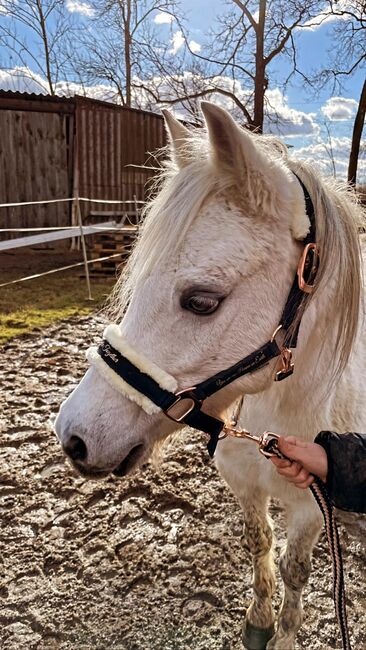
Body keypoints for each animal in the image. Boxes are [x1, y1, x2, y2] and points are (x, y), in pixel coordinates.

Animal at [55, 104, 366, 644]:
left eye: (201, 301)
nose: (74, 437)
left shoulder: (311, 506)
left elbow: (295, 571)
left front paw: (284, 635)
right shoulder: (244, 485)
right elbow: (258, 542)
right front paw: (259, 621)